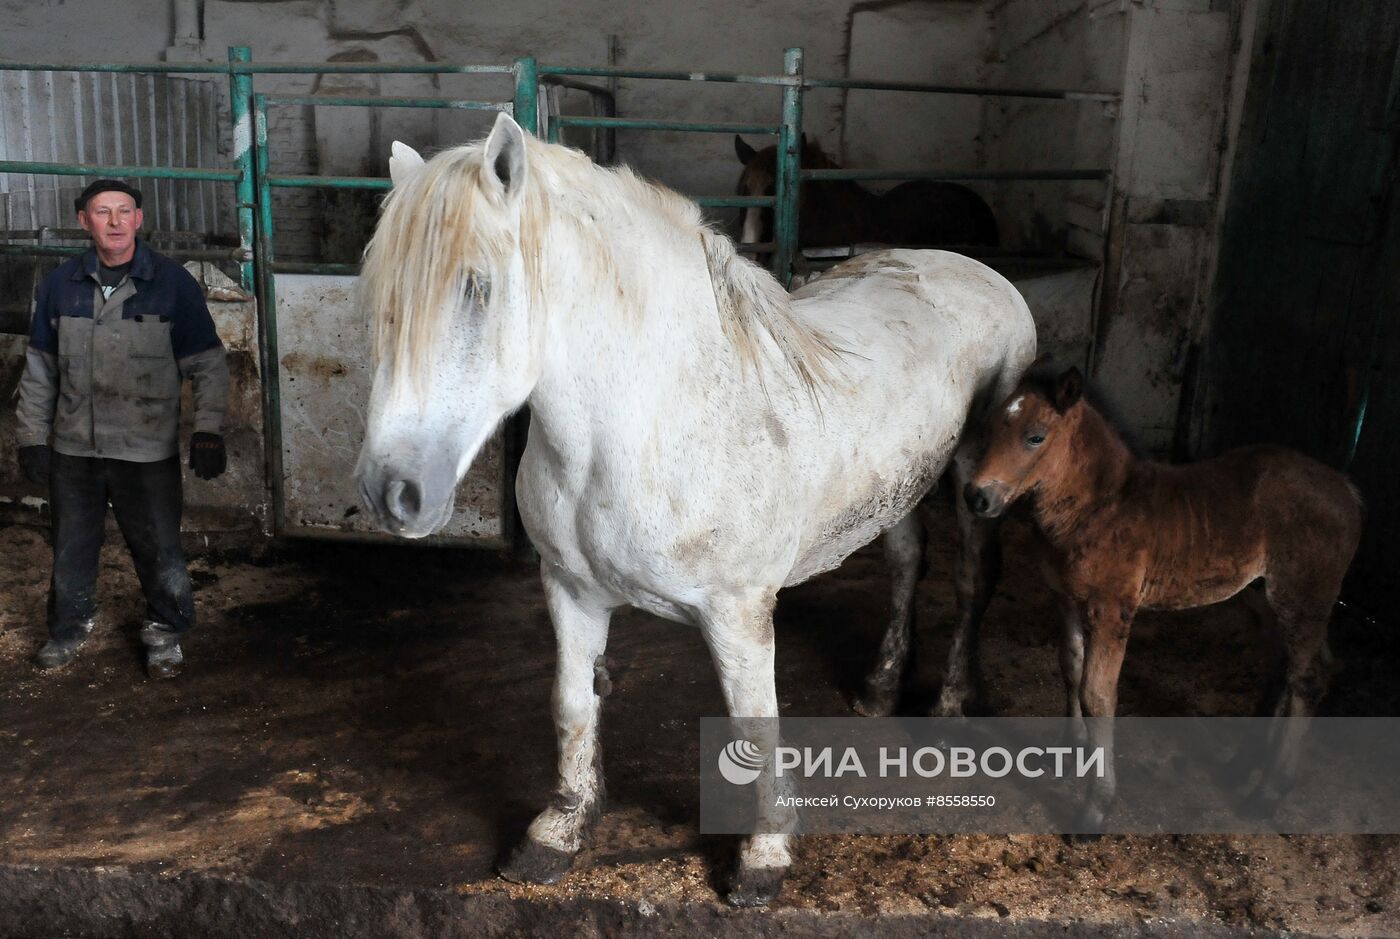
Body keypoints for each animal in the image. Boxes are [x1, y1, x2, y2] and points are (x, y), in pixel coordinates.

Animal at [963, 363, 1355, 834]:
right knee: (1285, 669)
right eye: (990, 428)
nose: (976, 496)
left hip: (1303, 596)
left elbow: (1098, 694)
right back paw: (1241, 767)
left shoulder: (1111, 608)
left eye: (1035, 436)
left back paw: (1268, 792)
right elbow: (1070, 668)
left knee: (1307, 679)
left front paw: (1096, 807)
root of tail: (1348, 489)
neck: (1100, 507)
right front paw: (1071, 751)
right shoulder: (1066, 598)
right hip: (1263, 597)